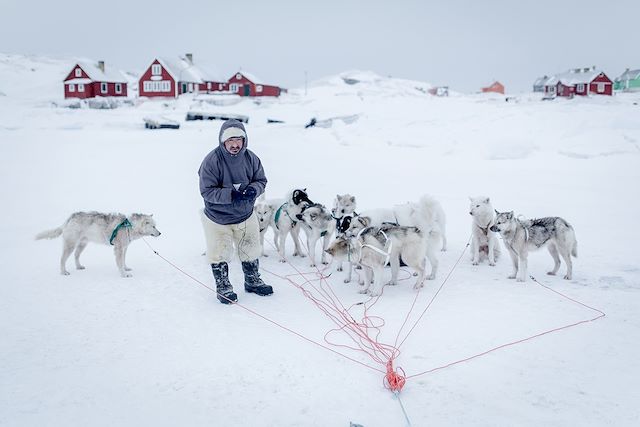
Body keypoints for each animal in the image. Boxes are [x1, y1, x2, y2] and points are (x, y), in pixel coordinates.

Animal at [34, 213, 162, 280]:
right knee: (62, 259)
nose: (160, 233)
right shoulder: (119, 249)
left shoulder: (125, 248)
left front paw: (125, 268)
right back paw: (63, 272)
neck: (130, 226)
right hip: (70, 245)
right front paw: (124, 274)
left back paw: (79, 266)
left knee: (76, 256)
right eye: (153, 226)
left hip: (82, 244)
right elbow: (120, 263)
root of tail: (70, 217)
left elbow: (123, 261)